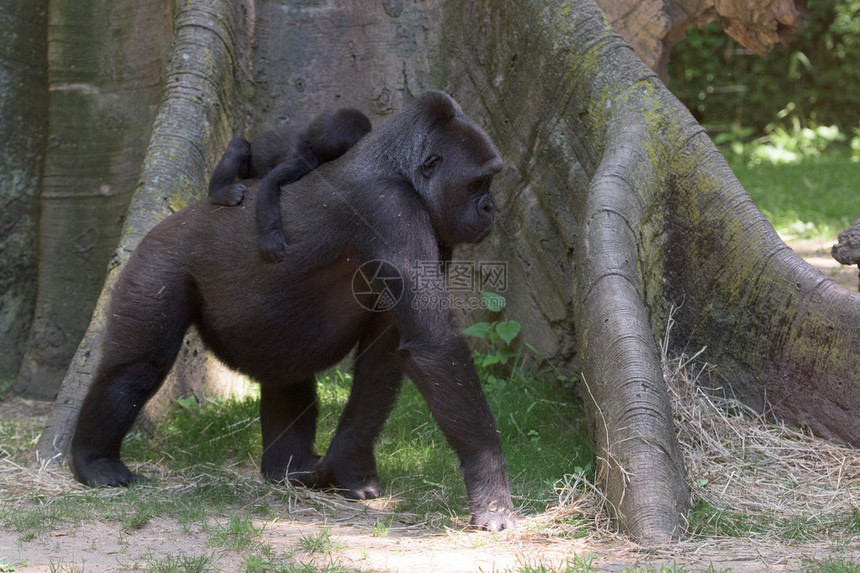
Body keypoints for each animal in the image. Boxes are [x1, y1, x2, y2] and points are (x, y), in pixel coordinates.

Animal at [210, 107, 372, 262]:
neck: (310, 139)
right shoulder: (303, 159)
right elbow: (271, 182)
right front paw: (271, 235)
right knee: (240, 146)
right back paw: (219, 193)